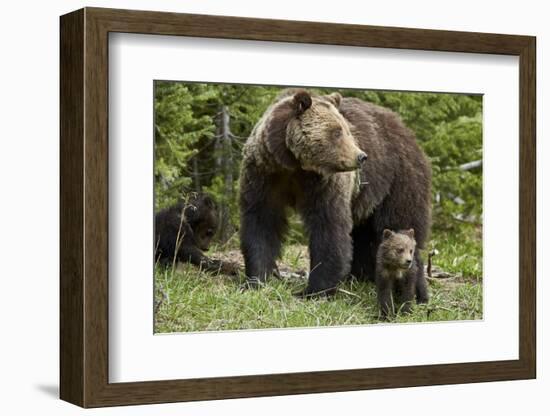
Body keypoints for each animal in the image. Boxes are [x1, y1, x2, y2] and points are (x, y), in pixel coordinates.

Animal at [239, 90, 434, 300]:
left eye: (347, 130)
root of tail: (406, 130)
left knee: (400, 224)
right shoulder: (264, 174)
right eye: (337, 131)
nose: (361, 156)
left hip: (399, 180)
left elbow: (329, 228)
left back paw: (415, 291)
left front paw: (314, 291)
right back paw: (360, 276)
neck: (294, 165)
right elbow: (261, 221)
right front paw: (256, 279)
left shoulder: (324, 184)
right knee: (364, 234)